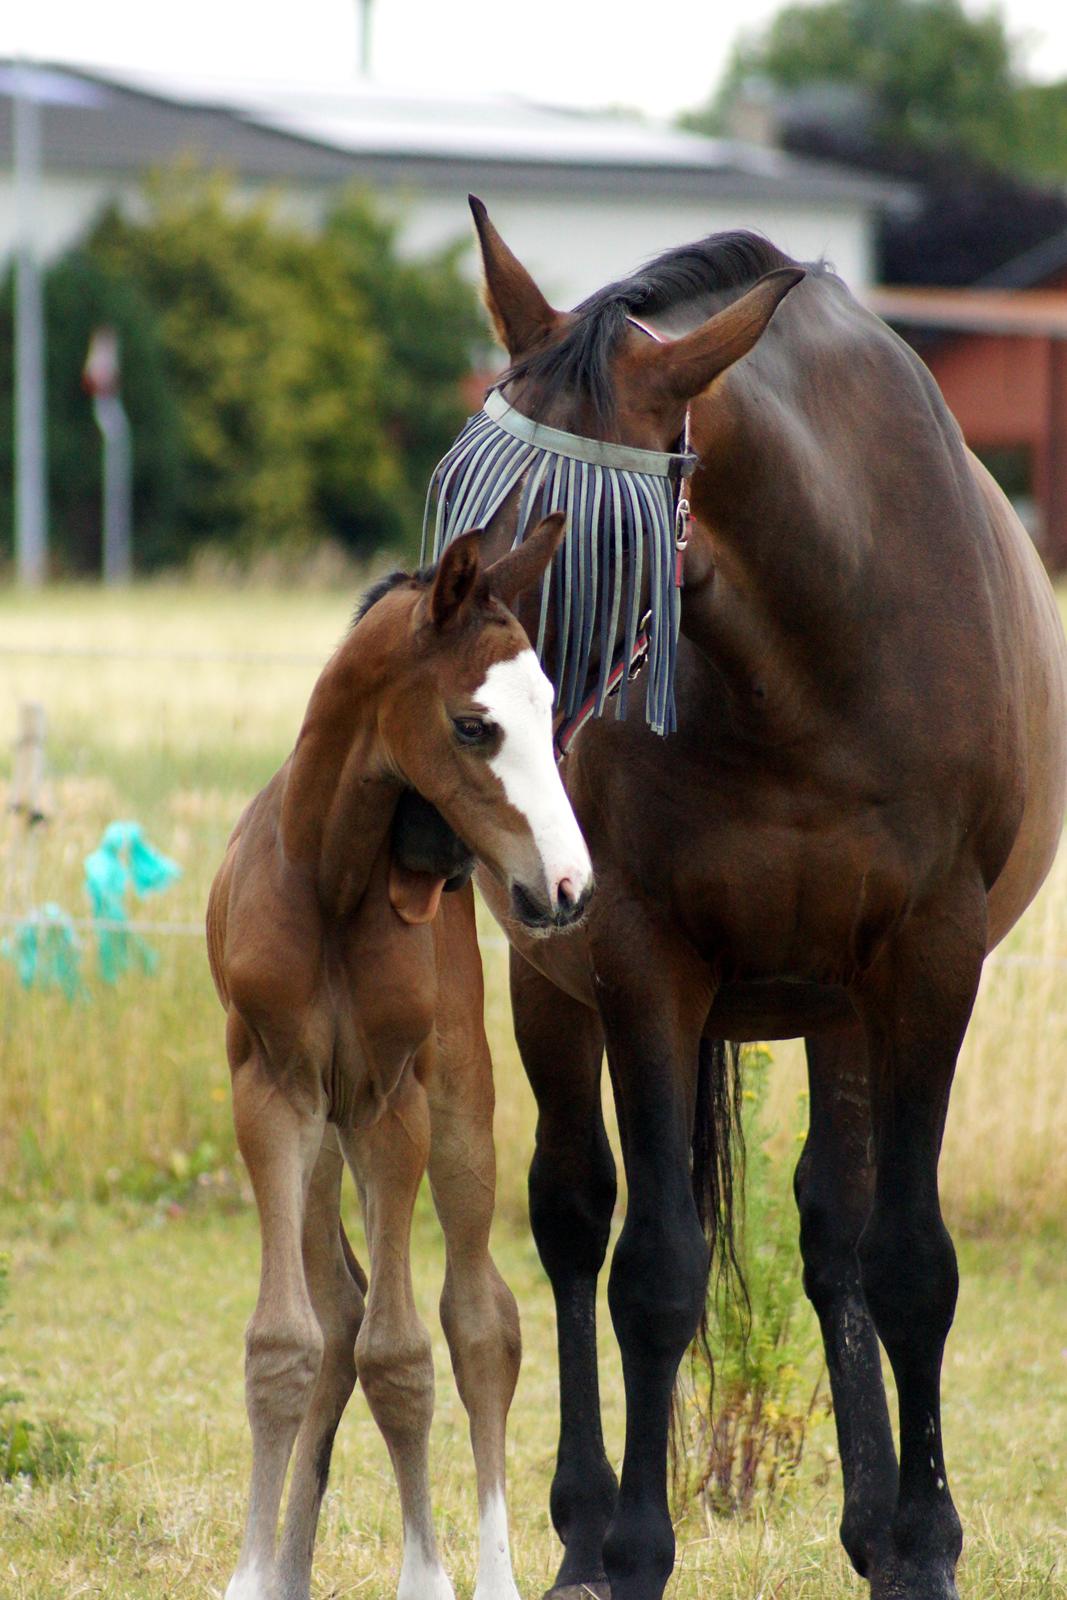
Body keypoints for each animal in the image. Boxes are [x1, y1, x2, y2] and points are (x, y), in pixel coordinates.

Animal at [206, 515, 591, 1600]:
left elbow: (406, 1354)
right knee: (338, 1314)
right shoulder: (274, 1094)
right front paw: (256, 1573)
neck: (331, 881)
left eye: (550, 709)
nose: (567, 884)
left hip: (456, 1110)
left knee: (479, 1319)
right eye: (473, 725)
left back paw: (497, 1574)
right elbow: (288, 1344)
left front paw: (429, 1575)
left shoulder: (390, 1104)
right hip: (325, 1139)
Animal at [425, 206, 1067, 1600]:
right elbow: (653, 1271)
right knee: (572, 1220)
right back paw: (578, 1531)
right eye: (452, 493)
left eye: (575, 538)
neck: (806, 656)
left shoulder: (926, 958)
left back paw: (875, 1522)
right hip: (551, 990)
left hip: (839, 1003)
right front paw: (631, 1549)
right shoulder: (635, 957)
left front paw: (923, 1544)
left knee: (835, 1224)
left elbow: (906, 1260)